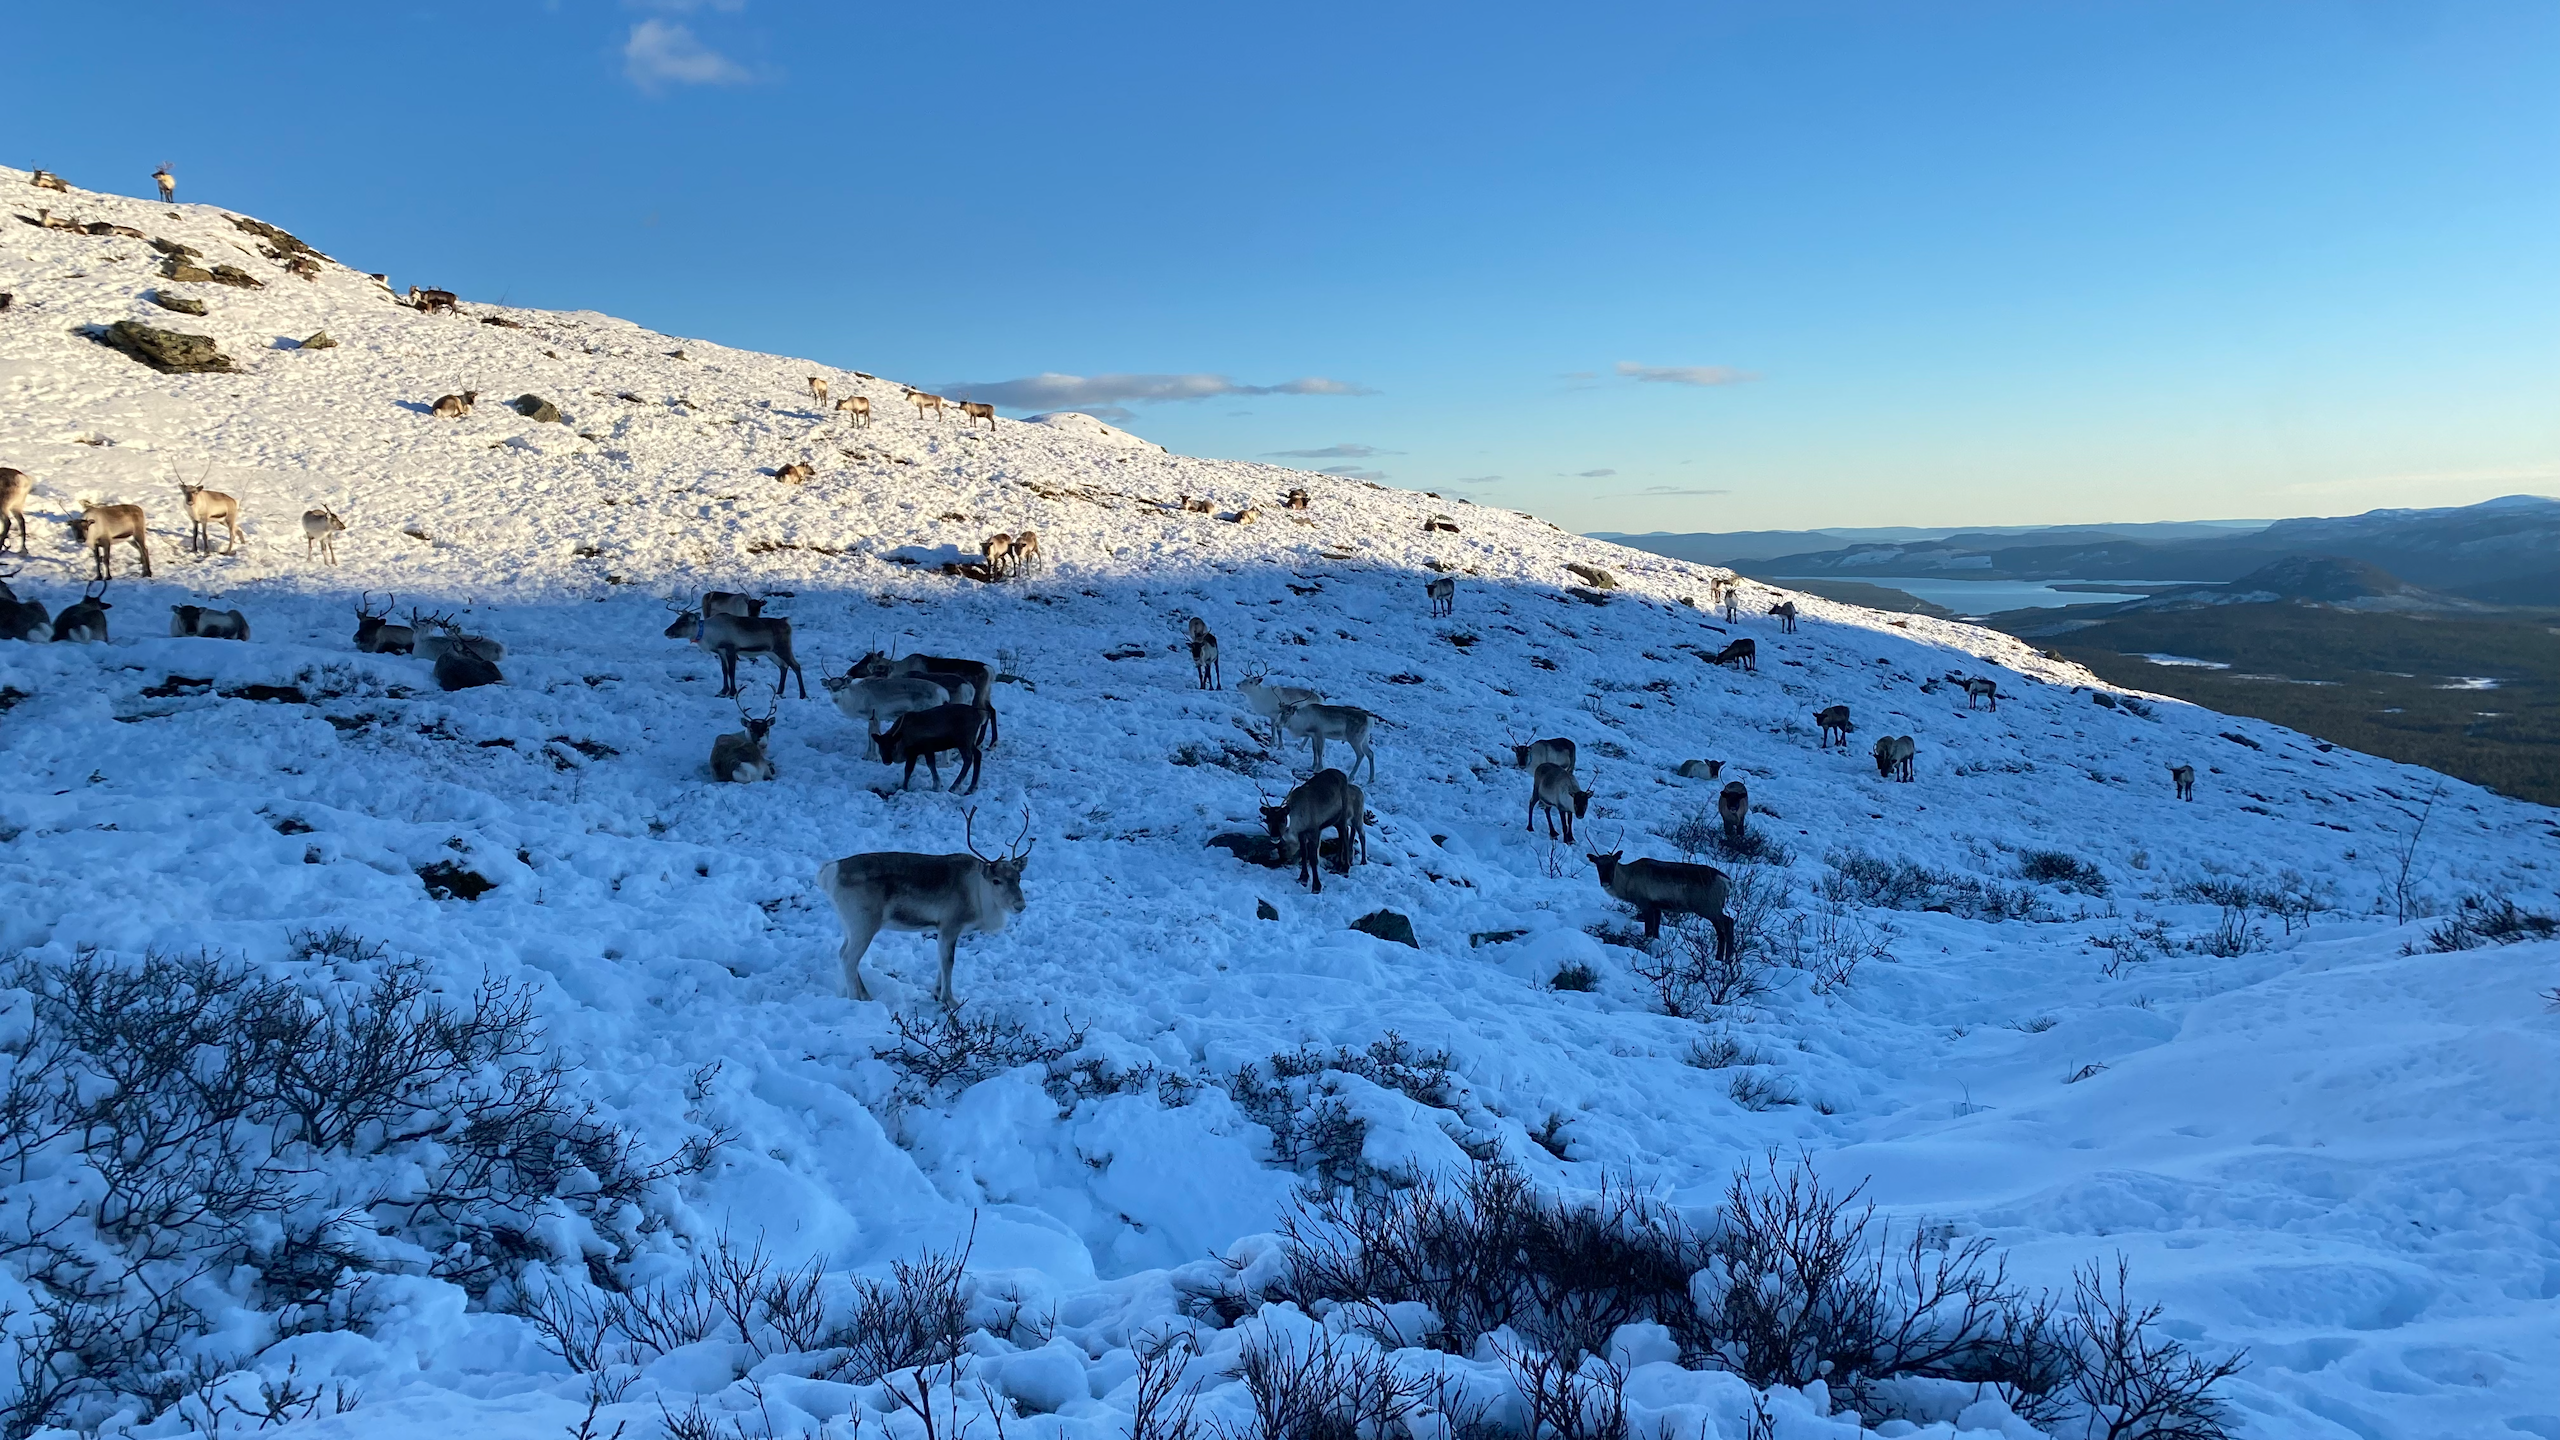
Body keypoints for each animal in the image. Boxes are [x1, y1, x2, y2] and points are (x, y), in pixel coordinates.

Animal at [667, 600, 807, 699]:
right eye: (677, 619)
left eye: (683, 623)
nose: (666, 632)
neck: (709, 634)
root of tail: (786, 622)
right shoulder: (721, 652)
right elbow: (724, 670)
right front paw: (723, 691)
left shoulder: (731, 649)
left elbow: (731, 671)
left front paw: (732, 692)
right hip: (771, 653)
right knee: (783, 667)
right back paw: (779, 692)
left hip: (783, 648)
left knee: (796, 666)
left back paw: (803, 695)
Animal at [818, 808, 1032, 1006]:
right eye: (996, 881)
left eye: (1018, 878)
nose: (1020, 905)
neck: (978, 892)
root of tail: (829, 871)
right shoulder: (950, 925)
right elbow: (948, 961)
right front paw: (950, 1000)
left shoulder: (942, 929)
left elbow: (941, 960)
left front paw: (936, 994)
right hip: (864, 924)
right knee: (849, 958)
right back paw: (855, 999)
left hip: (849, 924)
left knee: (842, 952)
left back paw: (866, 995)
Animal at [1588, 846, 1736, 959]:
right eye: (1598, 865)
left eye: (1612, 864)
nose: (1605, 881)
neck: (1628, 880)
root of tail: (1727, 882)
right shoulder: (1657, 907)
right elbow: (1656, 932)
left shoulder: (1646, 904)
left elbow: (1649, 931)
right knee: (1726, 926)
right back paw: (1724, 959)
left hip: (1708, 907)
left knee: (1727, 923)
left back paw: (1724, 959)